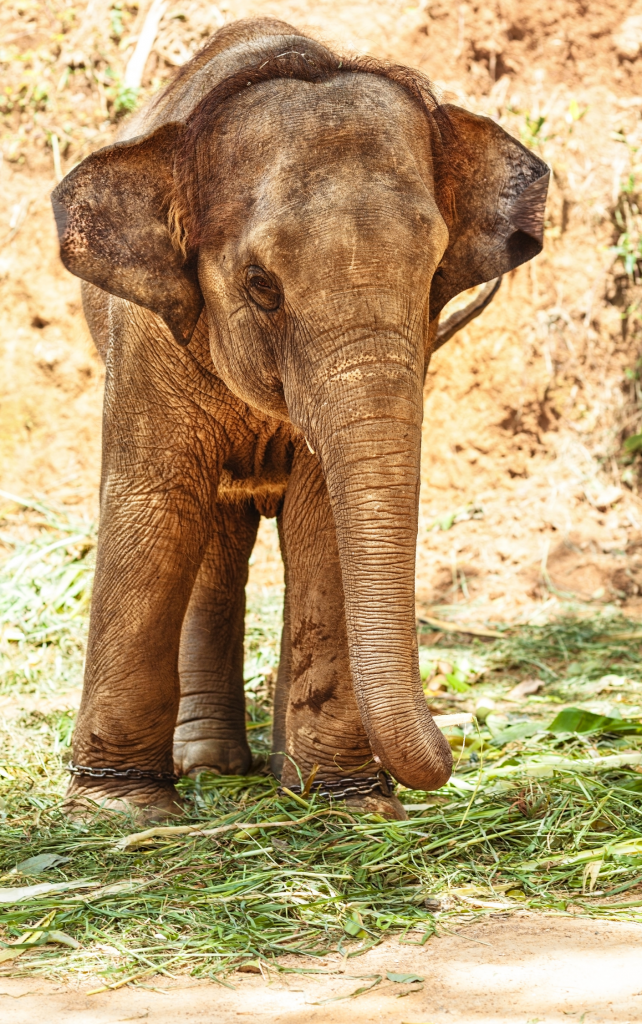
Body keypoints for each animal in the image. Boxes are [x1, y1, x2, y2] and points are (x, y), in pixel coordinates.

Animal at [51, 16, 548, 823]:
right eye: (261, 285)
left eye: (433, 275)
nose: (455, 748)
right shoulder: (145, 341)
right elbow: (154, 509)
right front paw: (122, 810)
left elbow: (323, 522)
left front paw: (349, 803)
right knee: (211, 531)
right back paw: (209, 767)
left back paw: (262, 769)